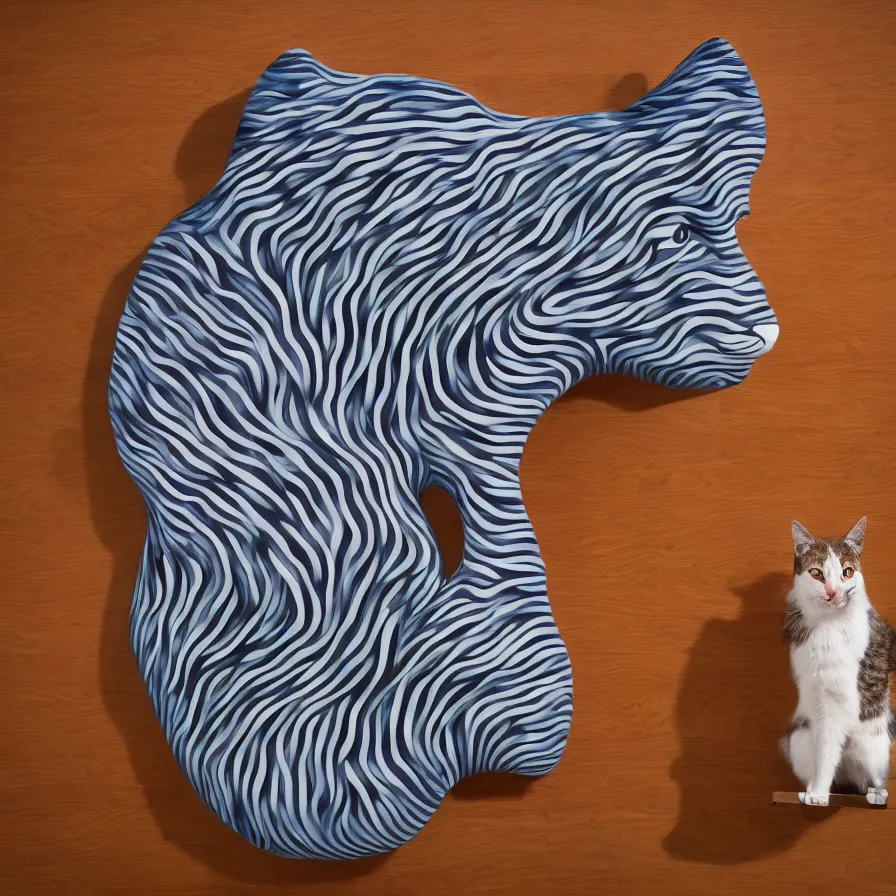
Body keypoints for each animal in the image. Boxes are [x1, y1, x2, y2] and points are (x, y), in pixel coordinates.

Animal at [776, 516, 896, 808]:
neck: (826, 624)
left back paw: (876, 794)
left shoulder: (837, 695)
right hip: (797, 738)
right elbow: (822, 749)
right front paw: (814, 790)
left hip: (874, 744)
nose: (832, 591)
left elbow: (827, 746)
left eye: (848, 572)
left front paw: (818, 795)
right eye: (817, 573)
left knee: (873, 779)